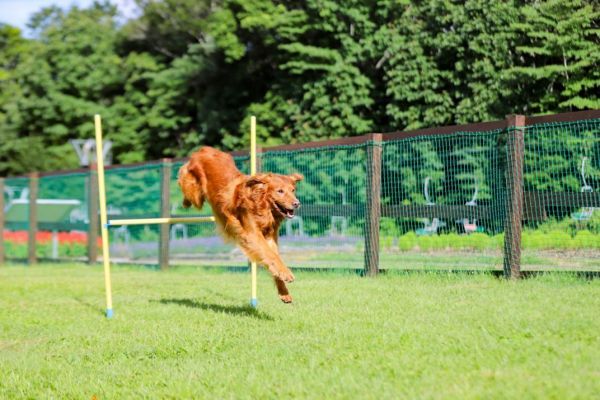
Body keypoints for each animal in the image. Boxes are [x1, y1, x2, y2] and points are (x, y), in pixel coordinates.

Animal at [177, 147, 300, 304]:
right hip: (195, 193)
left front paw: (284, 291)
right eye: (280, 191)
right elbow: (271, 255)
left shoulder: (270, 236)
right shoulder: (252, 234)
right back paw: (185, 202)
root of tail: (204, 149)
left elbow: (272, 256)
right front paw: (286, 273)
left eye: (292, 190)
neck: (261, 206)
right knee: (186, 185)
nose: (297, 203)